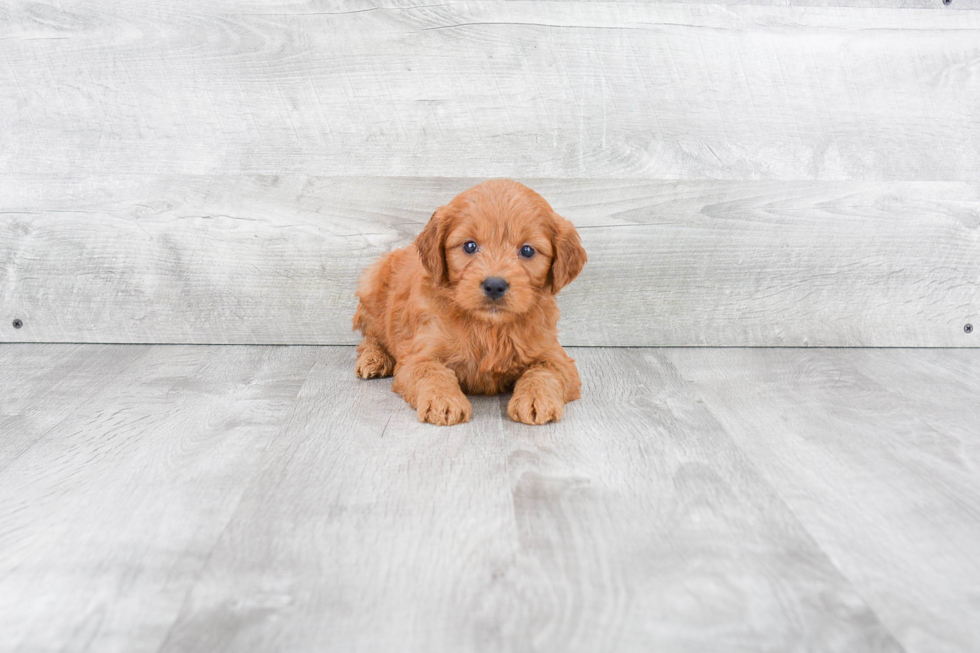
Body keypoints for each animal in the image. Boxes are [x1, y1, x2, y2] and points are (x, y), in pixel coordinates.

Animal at [352, 178, 584, 426]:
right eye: (470, 246)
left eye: (528, 250)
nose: (494, 285)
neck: (488, 328)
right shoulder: (419, 354)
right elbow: (432, 372)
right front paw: (443, 401)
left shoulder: (554, 355)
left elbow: (544, 372)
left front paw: (536, 399)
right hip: (372, 287)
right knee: (371, 338)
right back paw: (374, 359)